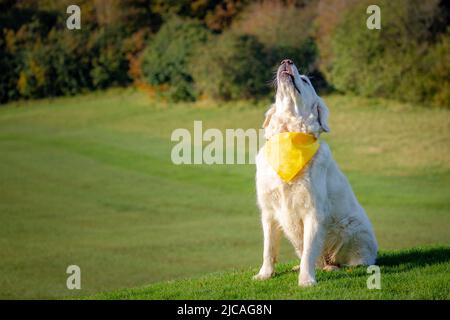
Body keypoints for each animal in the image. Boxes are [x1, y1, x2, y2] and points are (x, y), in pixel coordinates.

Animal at [253, 58, 376, 286]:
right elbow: (268, 249)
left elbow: (309, 251)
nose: (287, 61)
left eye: (305, 80)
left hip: (352, 228)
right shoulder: (268, 212)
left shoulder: (313, 212)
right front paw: (265, 274)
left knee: (351, 262)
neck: (289, 136)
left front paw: (306, 280)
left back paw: (333, 268)